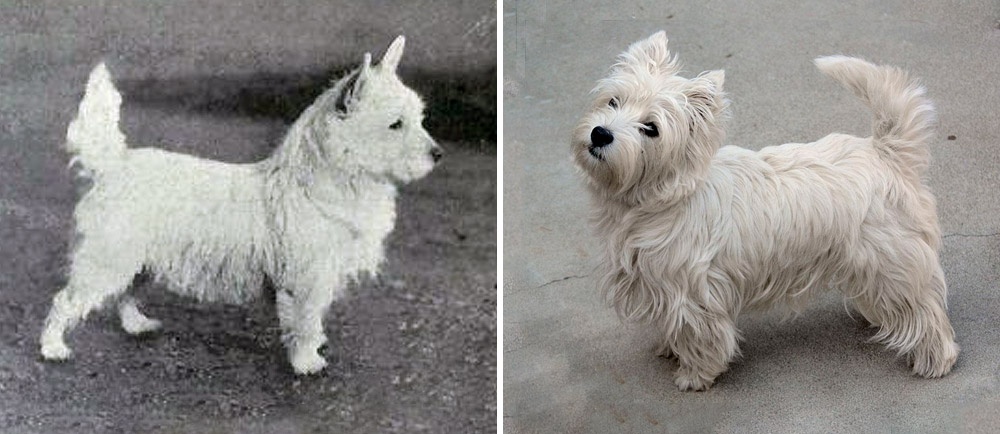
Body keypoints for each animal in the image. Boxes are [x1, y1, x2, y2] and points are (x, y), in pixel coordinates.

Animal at [43, 35, 442, 372]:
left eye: (419, 118)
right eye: (395, 124)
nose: (438, 154)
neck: (329, 183)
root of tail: (114, 165)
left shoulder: (321, 276)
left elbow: (314, 318)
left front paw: (316, 345)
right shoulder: (305, 279)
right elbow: (304, 320)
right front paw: (307, 362)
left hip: (136, 260)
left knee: (124, 294)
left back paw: (138, 325)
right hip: (108, 258)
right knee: (66, 300)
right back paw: (53, 348)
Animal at [576, 30, 956, 390]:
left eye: (651, 129)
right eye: (614, 100)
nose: (600, 134)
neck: (660, 199)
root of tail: (886, 152)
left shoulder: (692, 296)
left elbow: (701, 339)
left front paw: (694, 376)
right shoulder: (659, 286)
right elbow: (673, 328)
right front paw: (670, 349)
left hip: (892, 263)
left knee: (924, 311)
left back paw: (936, 360)